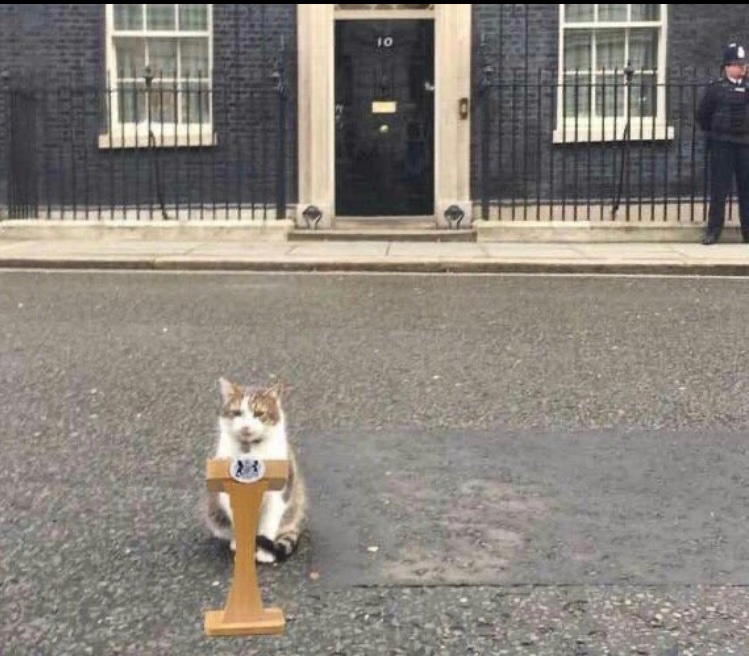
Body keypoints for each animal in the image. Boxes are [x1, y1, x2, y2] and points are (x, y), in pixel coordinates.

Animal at [203, 376, 306, 560]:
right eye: (237, 412)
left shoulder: (277, 497)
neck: (249, 451)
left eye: (259, 413)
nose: (246, 427)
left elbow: (268, 526)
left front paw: (264, 554)